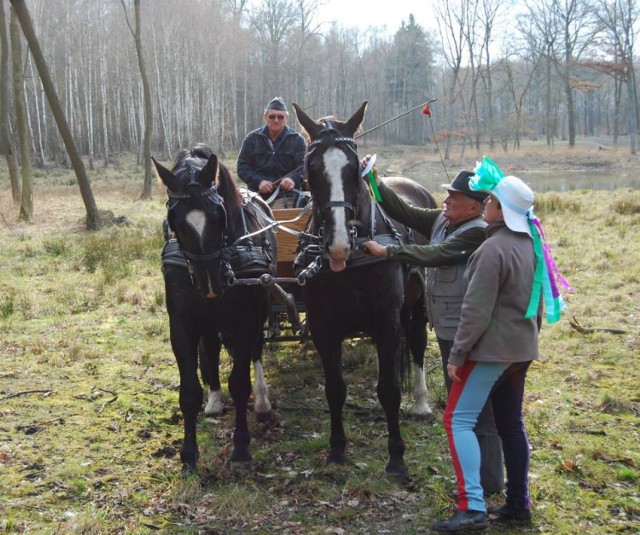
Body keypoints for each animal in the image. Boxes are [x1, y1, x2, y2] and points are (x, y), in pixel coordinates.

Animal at [154, 143, 278, 474]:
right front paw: (188, 453)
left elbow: (240, 383)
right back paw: (213, 402)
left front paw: (241, 447)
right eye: (174, 219)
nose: (211, 285)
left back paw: (262, 402)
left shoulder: (246, 320)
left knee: (257, 350)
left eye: (218, 214)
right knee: (210, 348)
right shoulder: (181, 324)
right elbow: (189, 391)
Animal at [292, 102, 438, 480]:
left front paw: (396, 456)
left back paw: (420, 403)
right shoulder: (323, 327)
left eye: (355, 166)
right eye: (310, 167)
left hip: (416, 307)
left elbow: (389, 389)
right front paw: (337, 450)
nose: (338, 244)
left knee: (416, 345)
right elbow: (335, 389)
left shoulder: (388, 321)